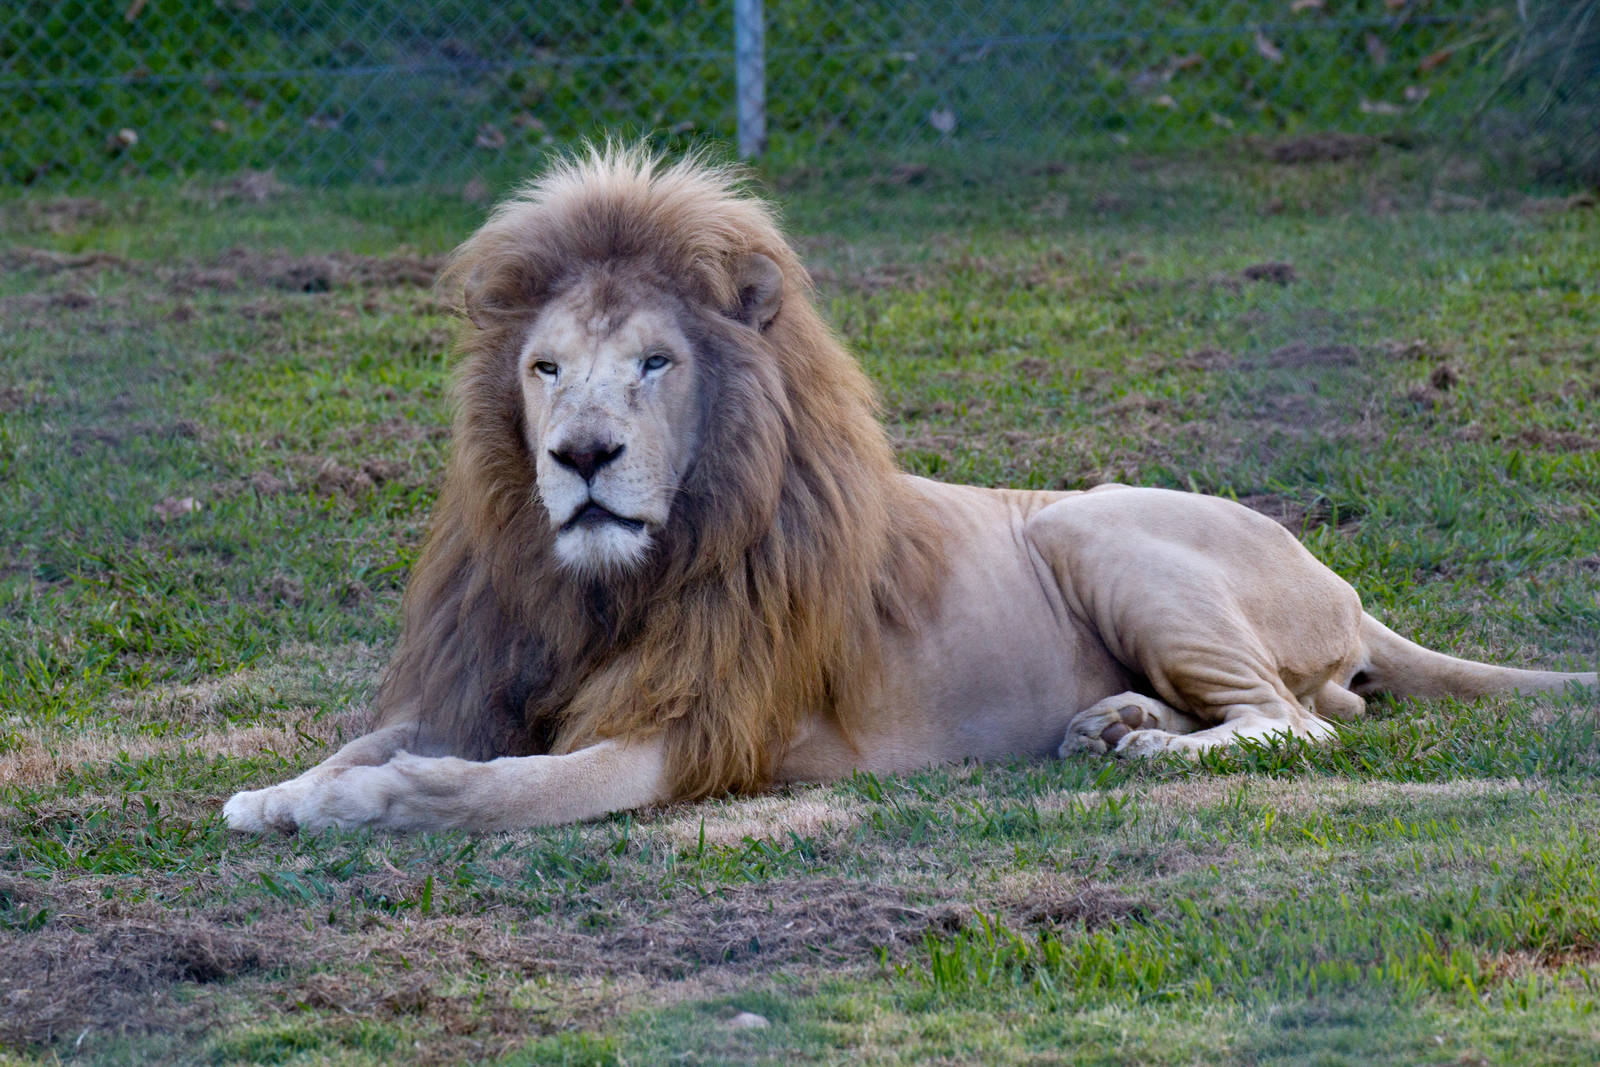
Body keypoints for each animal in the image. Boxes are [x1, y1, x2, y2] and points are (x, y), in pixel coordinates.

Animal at [223, 146, 1597, 833]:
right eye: (543, 368)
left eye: (657, 362)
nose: (581, 456)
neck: (611, 586)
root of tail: (1345, 586)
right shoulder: (501, 674)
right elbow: (372, 736)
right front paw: (278, 792)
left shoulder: (705, 723)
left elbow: (509, 786)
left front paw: (372, 803)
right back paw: (1112, 723)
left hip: (1092, 520)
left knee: (1301, 723)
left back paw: (1145, 749)